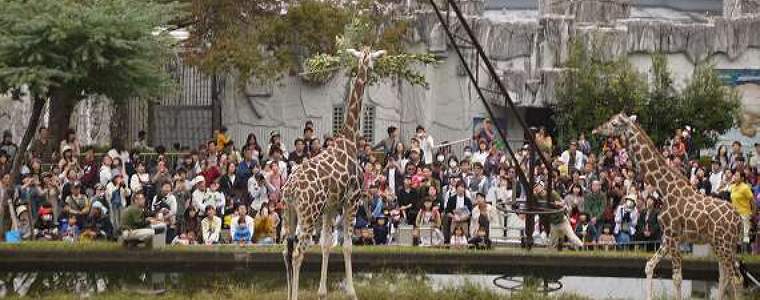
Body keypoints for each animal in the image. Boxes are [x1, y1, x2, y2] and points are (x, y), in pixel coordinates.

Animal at [280, 47, 386, 300]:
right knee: (297, 253)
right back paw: (295, 296)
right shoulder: (352, 199)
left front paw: (322, 292)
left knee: (286, 252)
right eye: (373, 59)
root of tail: (290, 189)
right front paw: (352, 292)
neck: (349, 138)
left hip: (289, 213)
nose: (372, 68)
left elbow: (326, 244)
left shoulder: (330, 206)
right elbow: (347, 245)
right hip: (308, 214)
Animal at [592, 113, 744, 300]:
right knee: (724, 276)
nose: (595, 130)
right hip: (722, 244)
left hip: (725, 244)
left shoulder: (673, 235)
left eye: (614, 123)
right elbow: (649, 266)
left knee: (736, 278)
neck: (665, 189)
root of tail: (739, 220)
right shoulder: (667, 237)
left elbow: (677, 278)